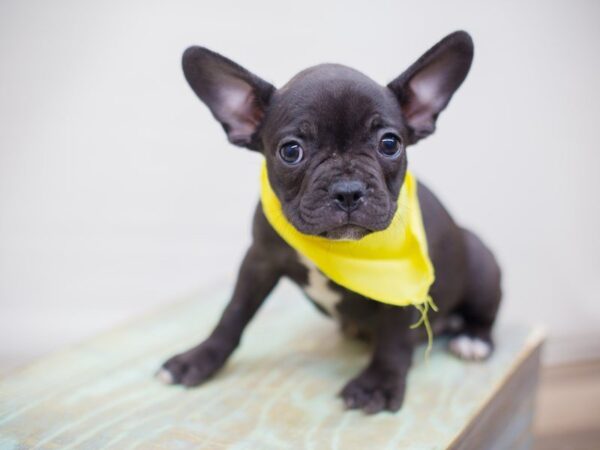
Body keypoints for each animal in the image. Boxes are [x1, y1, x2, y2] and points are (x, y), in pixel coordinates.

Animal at [157, 31, 500, 414]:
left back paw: (472, 339)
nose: (348, 190)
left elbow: (395, 335)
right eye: (291, 151)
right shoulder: (259, 260)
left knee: (485, 315)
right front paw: (200, 358)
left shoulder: (403, 285)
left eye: (390, 144)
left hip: (482, 264)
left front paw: (379, 382)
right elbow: (234, 313)